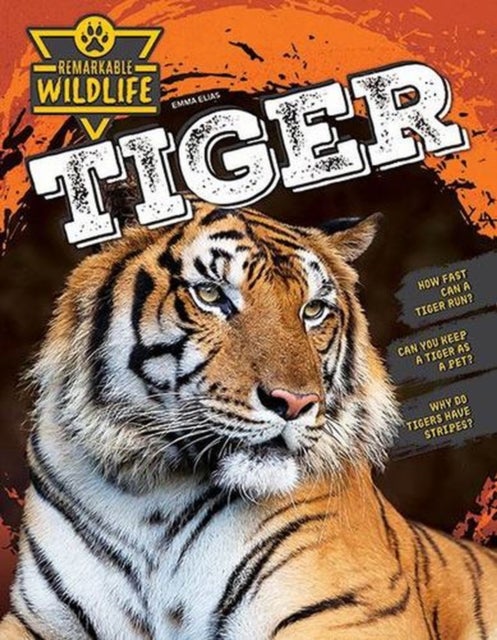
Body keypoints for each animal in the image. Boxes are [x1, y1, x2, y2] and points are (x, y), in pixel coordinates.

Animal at [1, 200, 496, 640]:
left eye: (312, 310)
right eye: (211, 295)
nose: (295, 403)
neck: (154, 496)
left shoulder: (352, 610)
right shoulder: (38, 618)